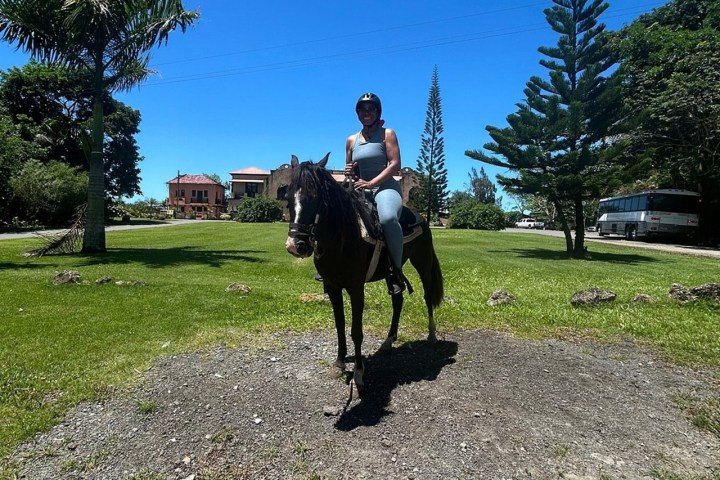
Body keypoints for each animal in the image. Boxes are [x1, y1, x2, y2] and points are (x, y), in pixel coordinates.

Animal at [284, 153, 444, 396]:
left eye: (315, 197)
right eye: (287, 198)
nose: (295, 246)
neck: (342, 235)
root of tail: (419, 216)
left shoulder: (356, 288)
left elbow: (356, 331)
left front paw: (359, 373)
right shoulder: (333, 287)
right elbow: (340, 326)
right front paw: (339, 364)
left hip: (423, 262)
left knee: (427, 296)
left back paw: (432, 335)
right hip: (391, 273)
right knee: (398, 300)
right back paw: (388, 341)